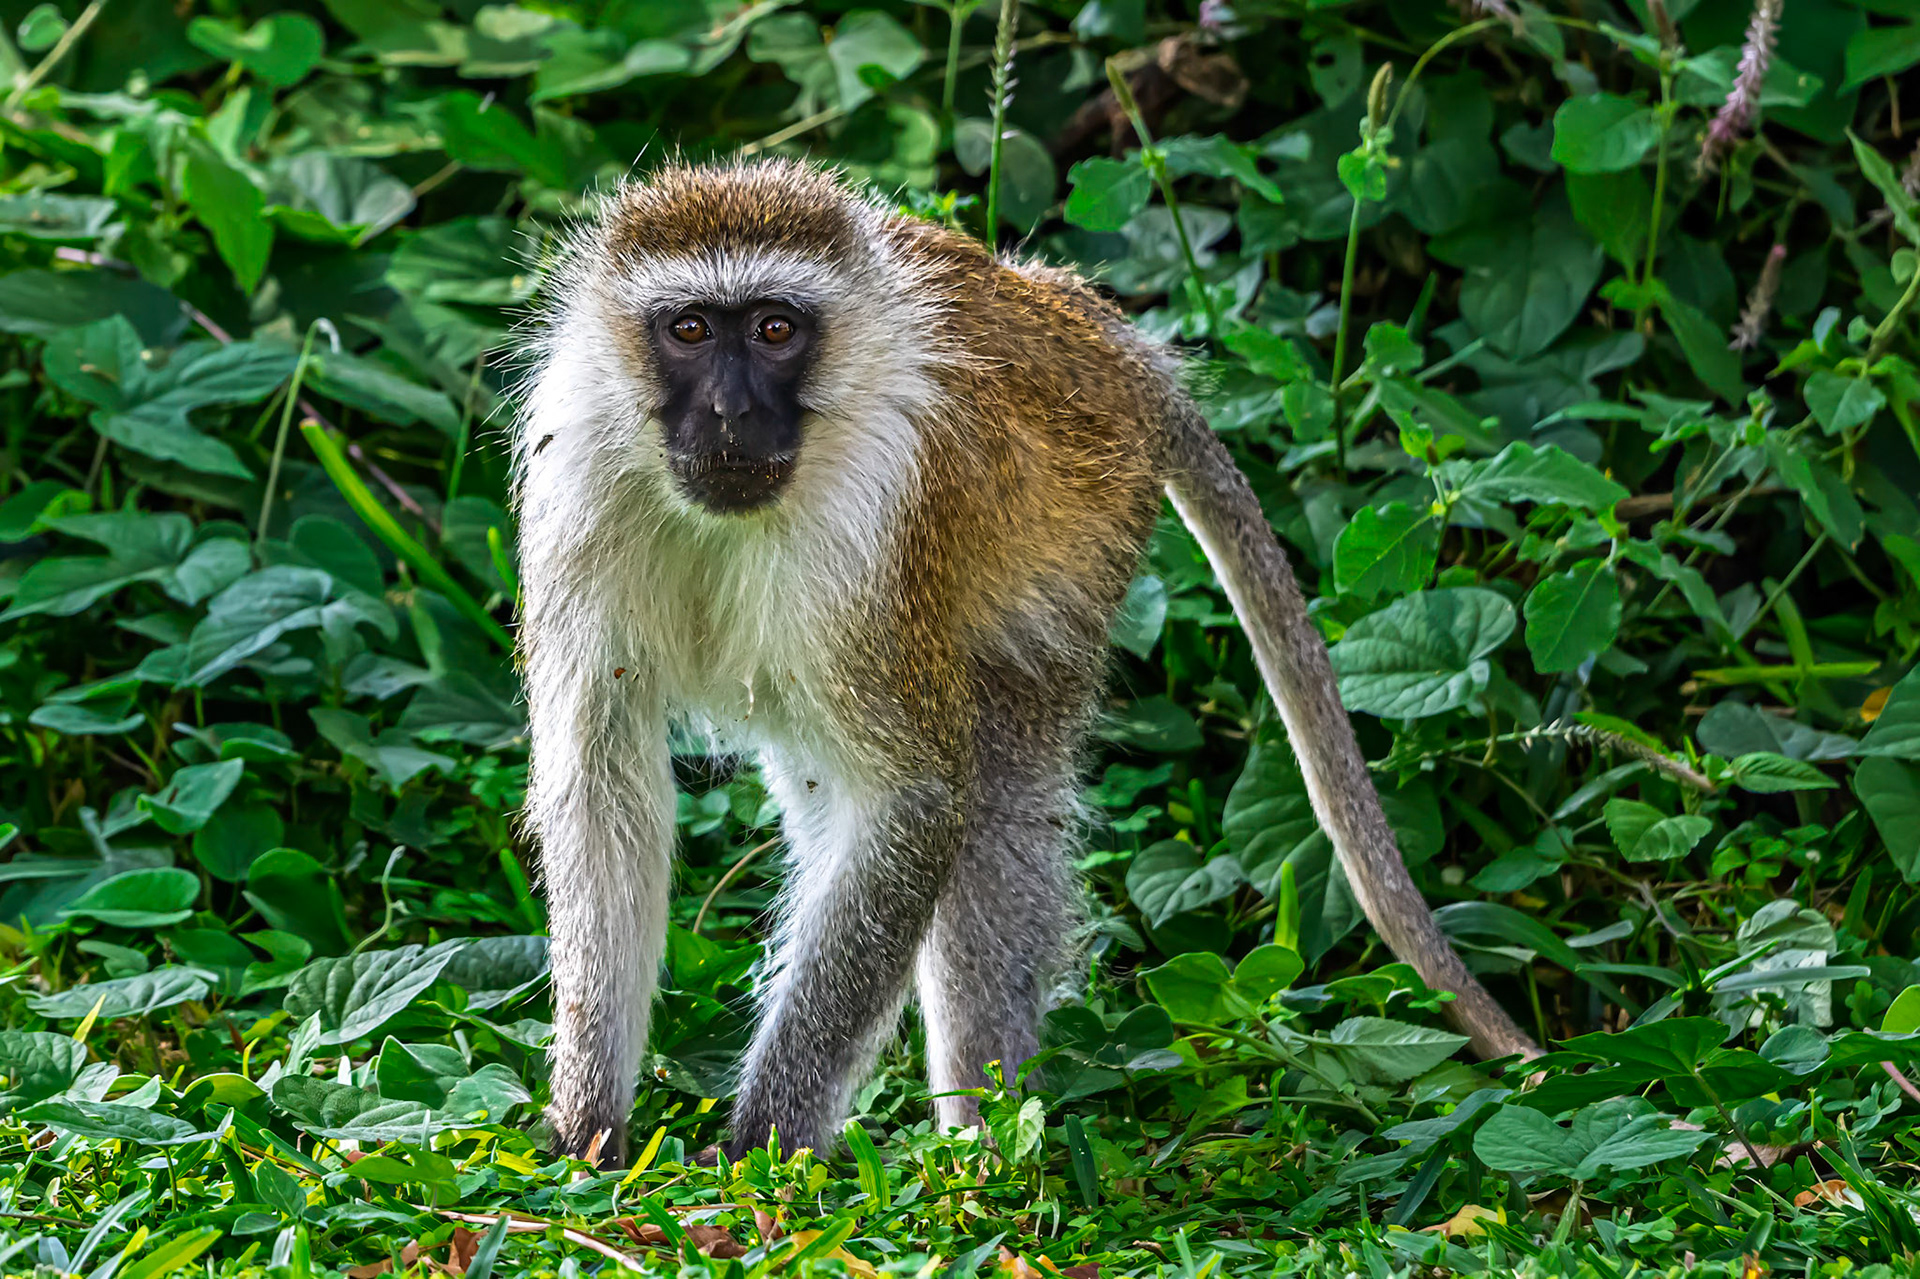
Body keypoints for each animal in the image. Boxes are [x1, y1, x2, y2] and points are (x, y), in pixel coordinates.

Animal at [511, 158, 1538, 1168]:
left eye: (774, 329)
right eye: (688, 329)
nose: (730, 412)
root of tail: (1109, 344)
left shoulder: (875, 538)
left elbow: (920, 802)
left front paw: (767, 1146)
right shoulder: (575, 484)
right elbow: (602, 784)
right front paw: (587, 1127)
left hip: (1079, 550)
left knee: (994, 811)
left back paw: (985, 1140)